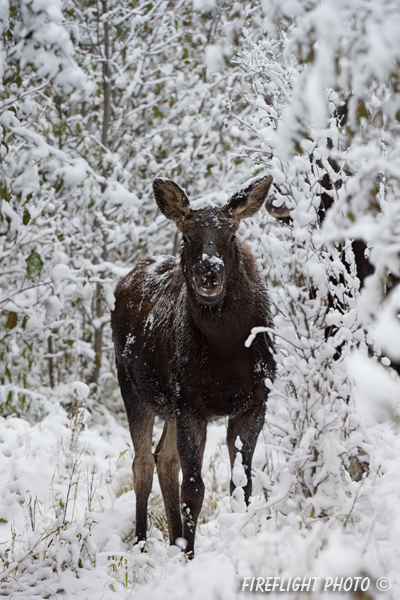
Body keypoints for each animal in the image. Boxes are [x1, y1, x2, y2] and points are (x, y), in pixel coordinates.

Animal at [111, 176, 276, 556]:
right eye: (186, 236)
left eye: (232, 234)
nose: (209, 274)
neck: (228, 352)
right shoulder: (190, 406)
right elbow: (195, 489)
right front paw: (190, 555)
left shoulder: (255, 403)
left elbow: (242, 483)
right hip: (134, 388)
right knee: (143, 463)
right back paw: (142, 541)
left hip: (170, 405)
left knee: (164, 458)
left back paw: (173, 540)